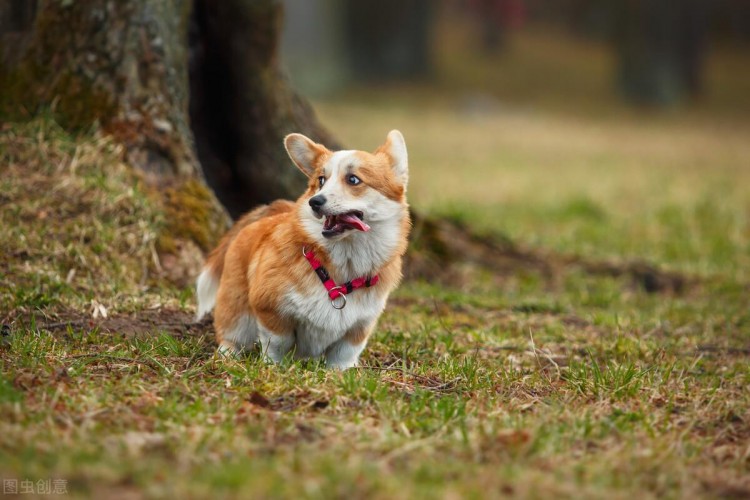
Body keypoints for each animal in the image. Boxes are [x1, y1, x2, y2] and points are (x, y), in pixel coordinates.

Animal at [195, 131, 412, 370]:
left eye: (353, 179)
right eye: (321, 180)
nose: (314, 201)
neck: (343, 267)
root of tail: (277, 211)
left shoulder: (359, 328)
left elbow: (343, 356)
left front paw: (338, 374)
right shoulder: (270, 310)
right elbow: (277, 343)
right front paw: (274, 368)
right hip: (237, 311)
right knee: (232, 335)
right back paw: (227, 356)